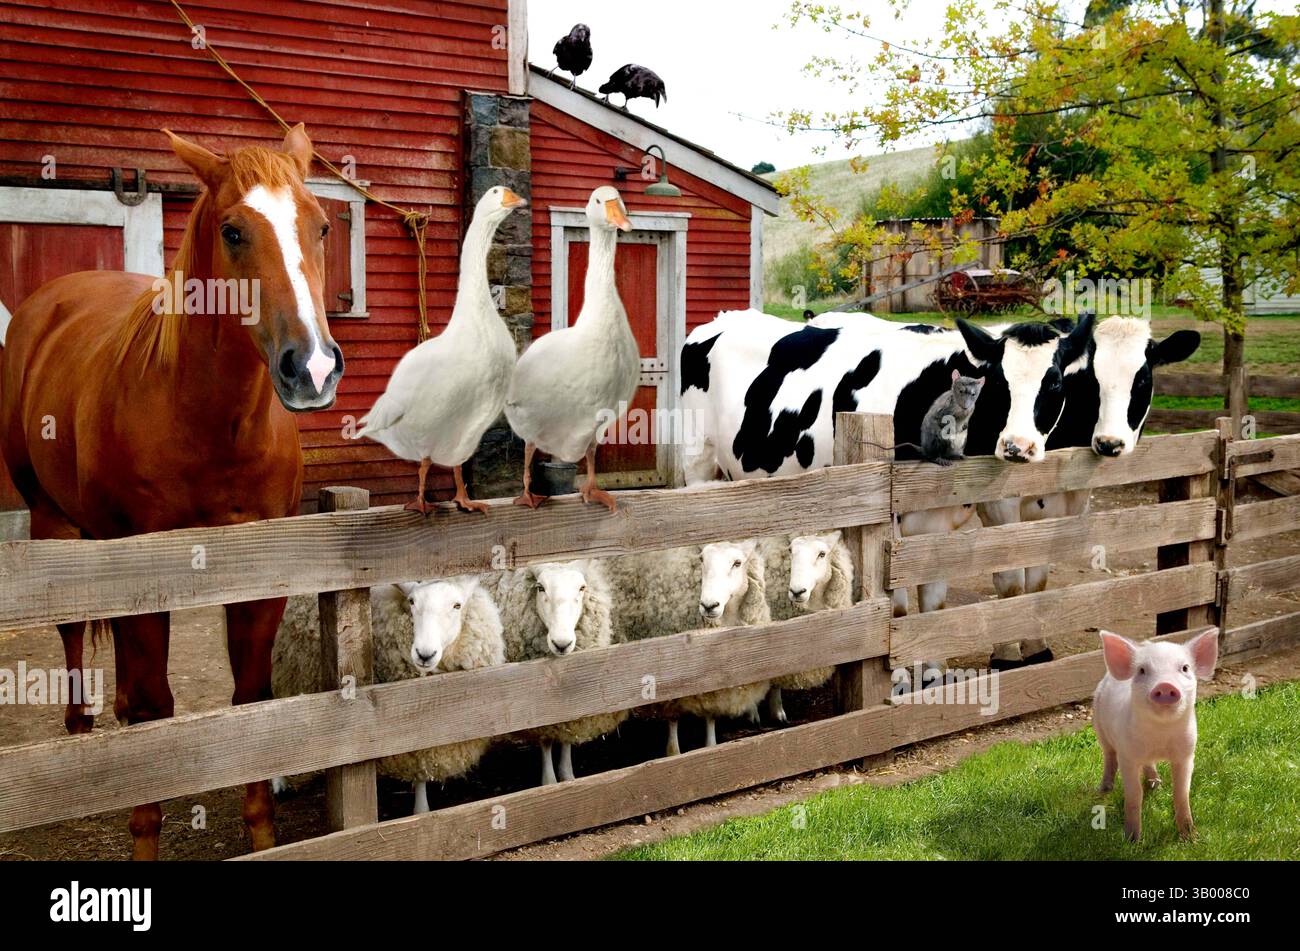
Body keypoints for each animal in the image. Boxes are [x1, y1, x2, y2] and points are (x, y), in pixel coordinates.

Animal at [0, 124, 345, 859]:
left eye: (323, 226)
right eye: (234, 231)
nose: (313, 368)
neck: (209, 421)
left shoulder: (260, 574)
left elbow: (250, 699)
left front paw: (262, 832)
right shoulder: (140, 572)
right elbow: (158, 711)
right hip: (54, 524)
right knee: (77, 634)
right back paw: (81, 727)